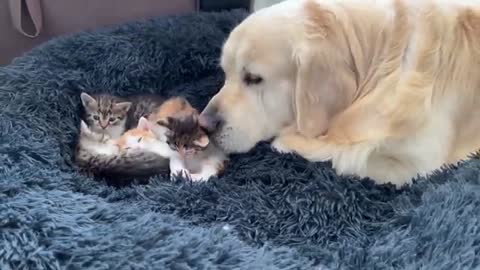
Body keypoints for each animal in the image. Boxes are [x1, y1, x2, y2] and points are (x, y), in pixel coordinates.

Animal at [200, 0, 480, 186]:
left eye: (253, 78)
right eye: (225, 73)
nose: (204, 125)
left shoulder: (417, 164)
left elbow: (347, 156)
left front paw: (287, 141)